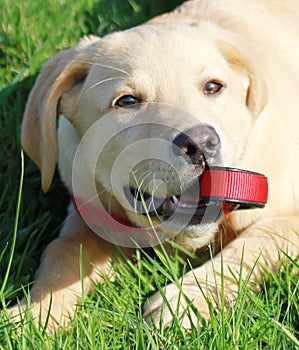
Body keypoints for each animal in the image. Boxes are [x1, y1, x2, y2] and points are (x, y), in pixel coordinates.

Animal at [10, 0, 298, 330]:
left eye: (213, 87)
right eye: (127, 101)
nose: (202, 144)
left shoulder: (288, 219)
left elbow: (252, 246)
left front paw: (184, 302)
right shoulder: (88, 215)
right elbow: (63, 252)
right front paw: (33, 315)